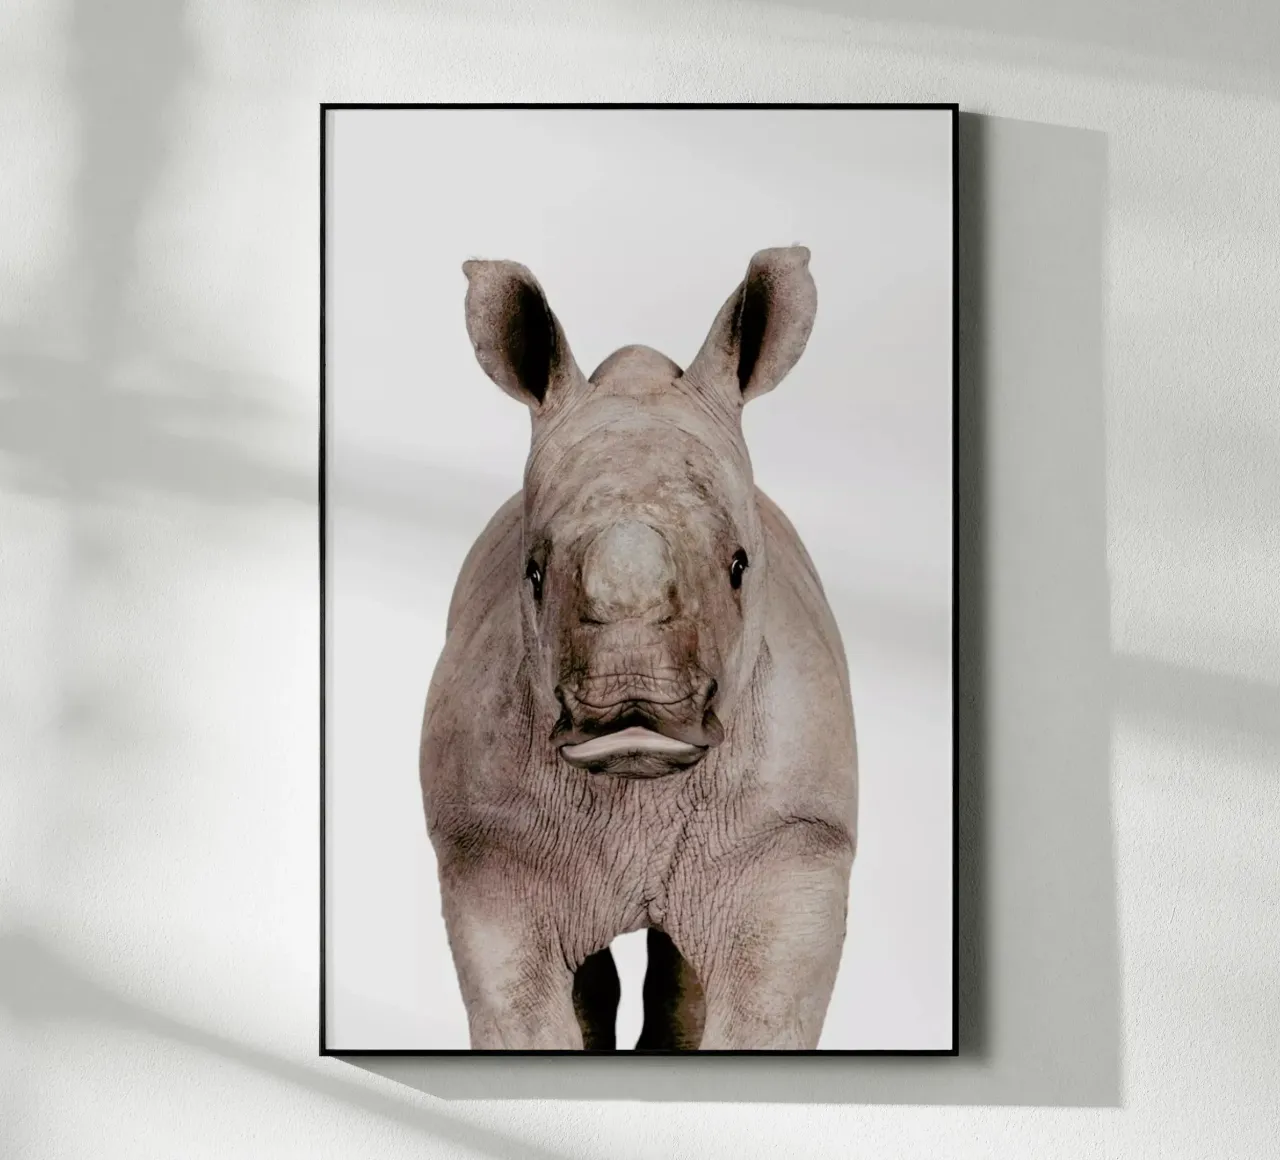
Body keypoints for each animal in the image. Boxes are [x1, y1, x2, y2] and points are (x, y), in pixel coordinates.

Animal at [419, 246, 858, 1051]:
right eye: (532, 574)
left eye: (740, 566)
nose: (633, 709)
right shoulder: (489, 847)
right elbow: (522, 1010)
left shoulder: (793, 842)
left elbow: (761, 1010)